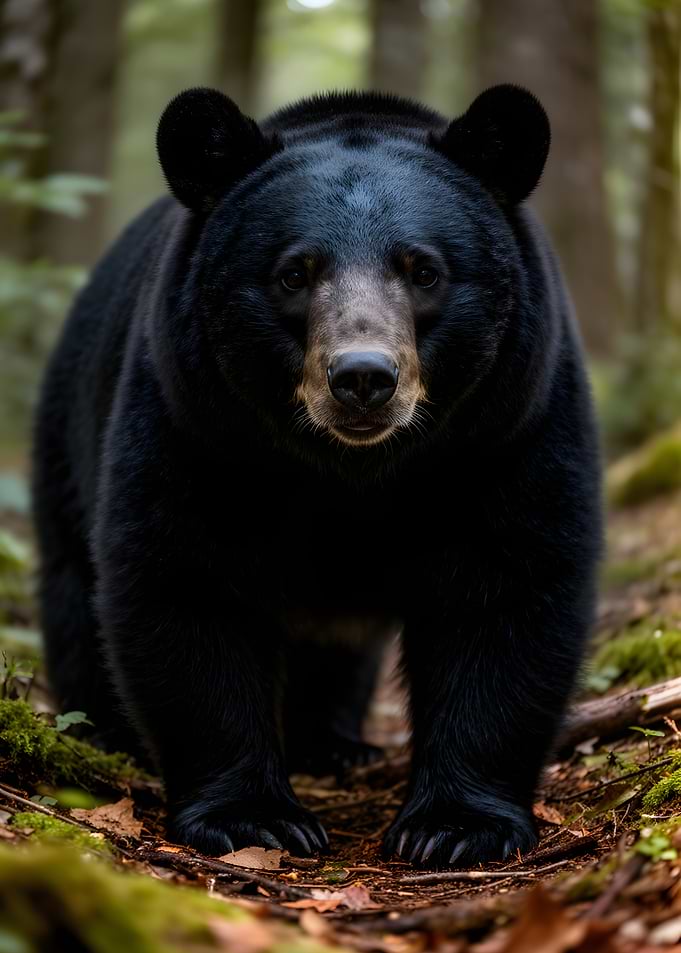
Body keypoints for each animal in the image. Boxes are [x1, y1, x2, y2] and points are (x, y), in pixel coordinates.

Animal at [32, 84, 602, 868]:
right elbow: (186, 582)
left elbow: (507, 589)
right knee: (72, 593)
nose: (362, 378)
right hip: (67, 438)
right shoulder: (195, 423)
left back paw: (336, 745)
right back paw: (109, 735)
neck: (349, 473)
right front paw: (255, 818)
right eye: (294, 273)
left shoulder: (510, 425)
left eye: (423, 270)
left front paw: (455, 826)